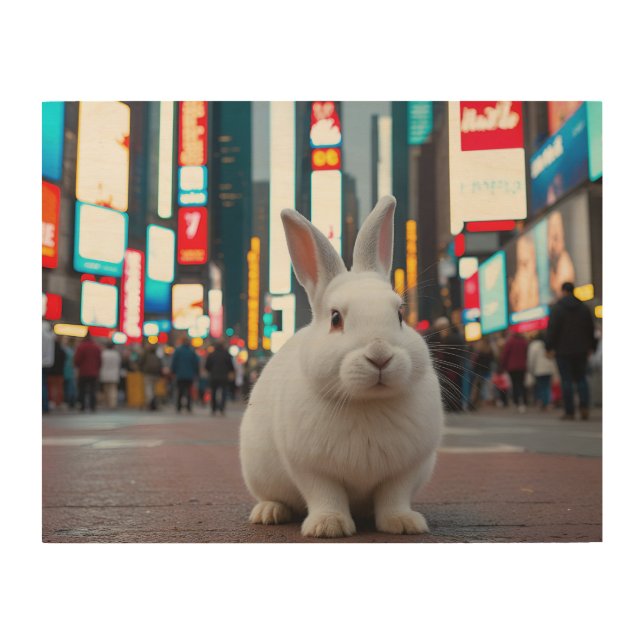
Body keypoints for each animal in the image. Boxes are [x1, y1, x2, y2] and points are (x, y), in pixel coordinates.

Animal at [239, 195, 444, 538]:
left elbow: (394, 496)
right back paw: (269, 513)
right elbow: (325, 495)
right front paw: (327, 526)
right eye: (336, 318)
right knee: (274, 497)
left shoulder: (406, 468)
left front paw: (403, 524)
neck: (367, 403)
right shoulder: (311, 468)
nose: (379, 355)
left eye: (400, 315)